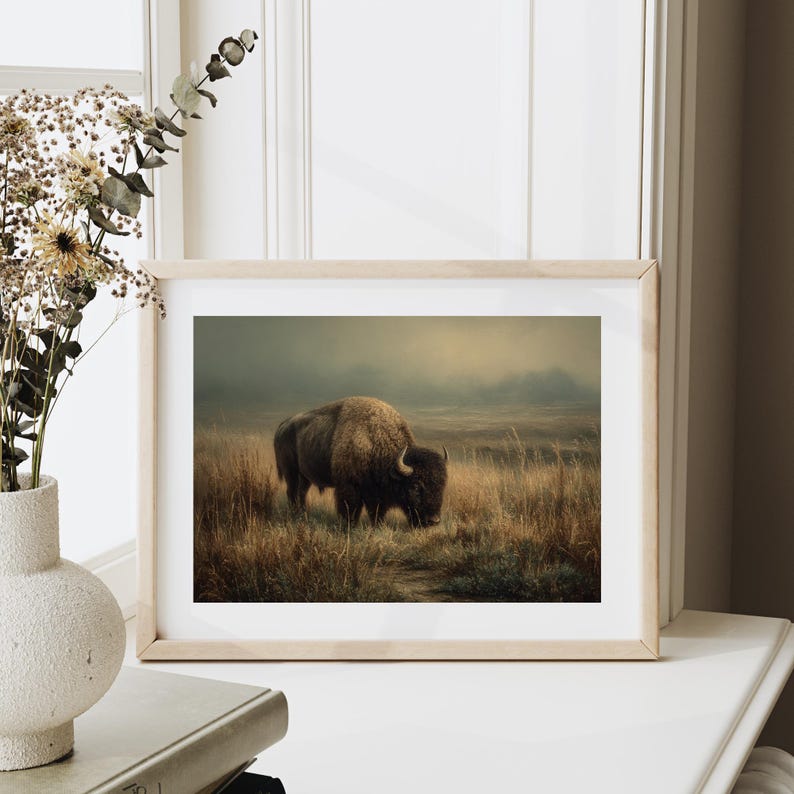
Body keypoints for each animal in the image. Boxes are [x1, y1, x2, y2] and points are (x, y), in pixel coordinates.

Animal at [274, 396, 448, 527]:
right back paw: (295, 515)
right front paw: (349, 527)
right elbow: (350, 510)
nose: (433, 520)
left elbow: (376, 513)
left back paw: (303, 515)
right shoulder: (348, 488)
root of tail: (283, 425)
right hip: (291, 472)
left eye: (442, 485)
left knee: (302, 493)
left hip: (305, 476)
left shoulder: (376, 495)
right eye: (415, 486)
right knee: (291, 492)